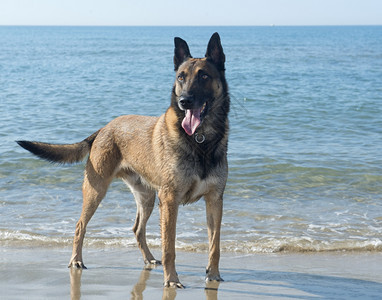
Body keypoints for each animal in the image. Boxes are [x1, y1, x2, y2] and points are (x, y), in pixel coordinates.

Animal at [17, 32, 230, 288]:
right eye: (181, 77)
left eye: (204, 76)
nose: (184, 101)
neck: (200, 140)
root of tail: (104, 128)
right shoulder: (169, 201)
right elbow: (169, 247)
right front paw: (171, 280)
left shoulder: (214, 200)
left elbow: (215, 244)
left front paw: (213, 274)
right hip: (96, 191)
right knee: (80, 226)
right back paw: (76, 260)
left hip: (147, 197)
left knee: (137, 229)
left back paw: (149, 259)